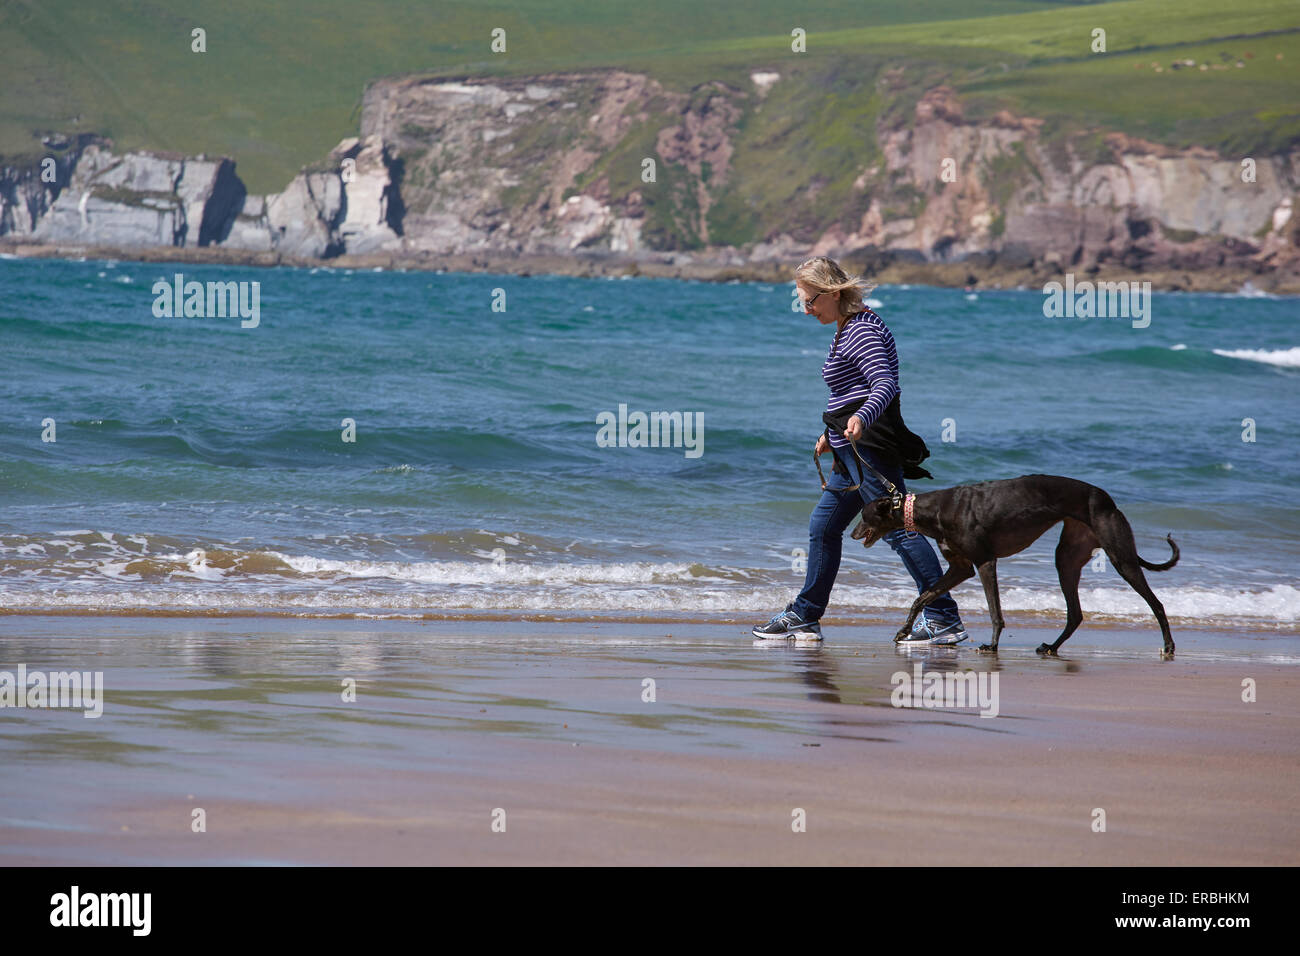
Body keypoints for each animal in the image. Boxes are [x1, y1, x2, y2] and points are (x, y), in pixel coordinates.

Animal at [852, 473, 1180, 655]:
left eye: (864, 515)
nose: (852, 534)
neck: (934, 509)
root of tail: (1106, 499)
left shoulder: (984, 561)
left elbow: (995, 611)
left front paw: (992, 645)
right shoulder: (961, 567)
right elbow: (921, 597)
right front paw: (903, 630)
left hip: (1120, 556)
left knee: (1157, 603)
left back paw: (1168, 646)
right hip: (1067, 559)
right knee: (1075, 613)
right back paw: (1052, 648)